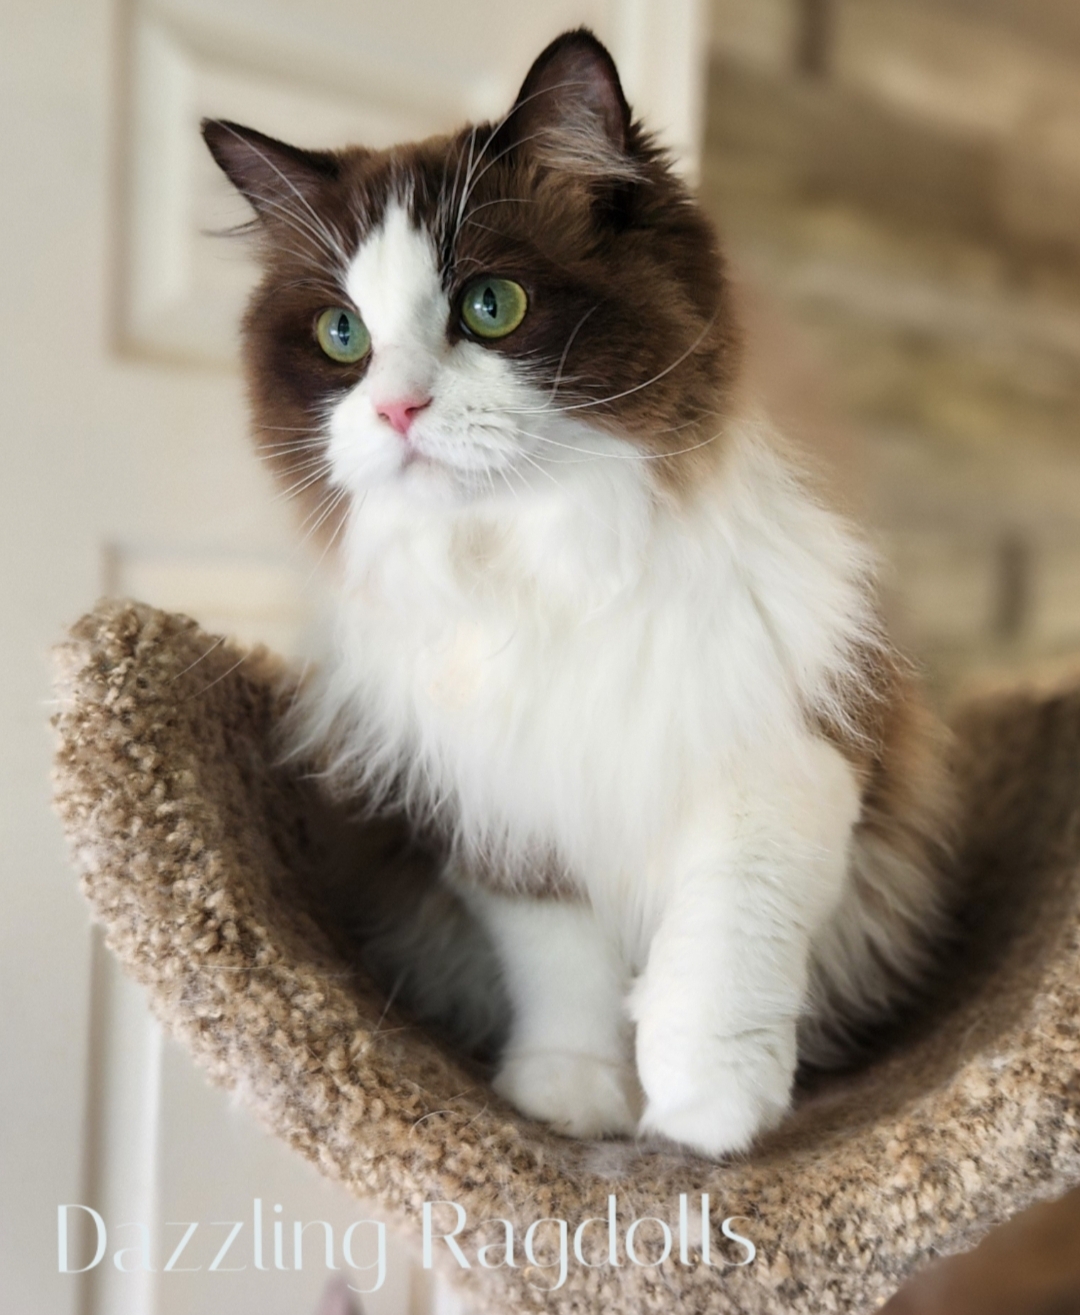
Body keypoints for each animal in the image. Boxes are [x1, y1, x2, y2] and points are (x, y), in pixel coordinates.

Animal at [202, 25, 952, 1162]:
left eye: (490, 307)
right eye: (343, 335)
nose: (396, 409)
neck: (546, 567)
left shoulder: (782, 752)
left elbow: (720, 951)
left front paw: (704, 1118)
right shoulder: (500, 812)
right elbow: (563, 968)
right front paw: (572, 1098)